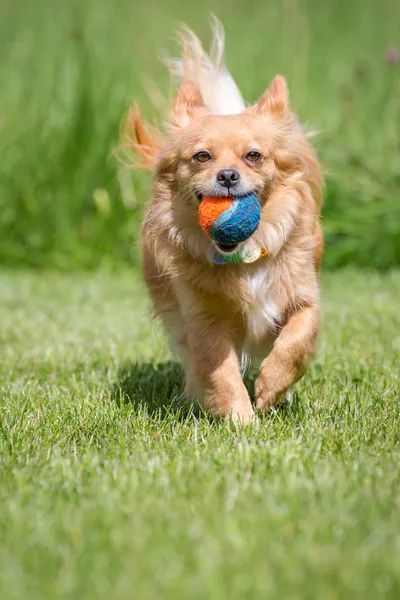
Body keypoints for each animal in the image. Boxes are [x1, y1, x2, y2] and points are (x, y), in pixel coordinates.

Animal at [125, 18, 324, 422]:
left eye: (253, 156)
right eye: (202, 156)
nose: (228, 175)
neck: (244, 256)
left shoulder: (305, 299)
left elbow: (296, 342)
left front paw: (270, 388)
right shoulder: (204, 322)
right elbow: (222, 372)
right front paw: (240, 420)